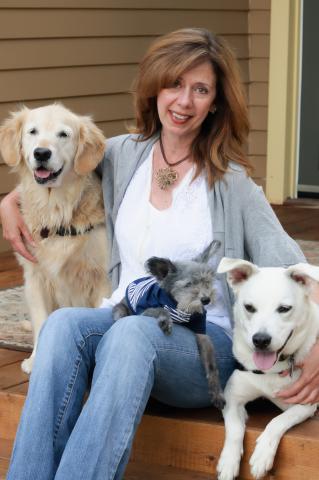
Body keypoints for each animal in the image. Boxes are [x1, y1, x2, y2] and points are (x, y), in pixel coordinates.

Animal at [0, 104, 110, 376]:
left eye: (63, 134)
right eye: (32, 132)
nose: (41, 153)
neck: (56, 209)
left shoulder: (101, 278)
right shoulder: (35, 278)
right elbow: (42, 323)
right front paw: (36, 360)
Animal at [112, 240, 225, 408]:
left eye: (207, 281)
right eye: (188, 284)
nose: (206, 300)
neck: (181, 307)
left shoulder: (202, 333)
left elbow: (211, 365)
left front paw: (217, 392)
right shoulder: (146, 310)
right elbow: (161, 309)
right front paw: (166, 321)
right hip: (121, 309)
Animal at [216, 258, 318, 480]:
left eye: (284, 309)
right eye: (249, 307)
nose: (261, 340)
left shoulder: (306, 404)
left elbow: (278, 420)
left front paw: (262, 454)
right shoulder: (231, 397)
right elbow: (234, 429)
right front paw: (228, 461)